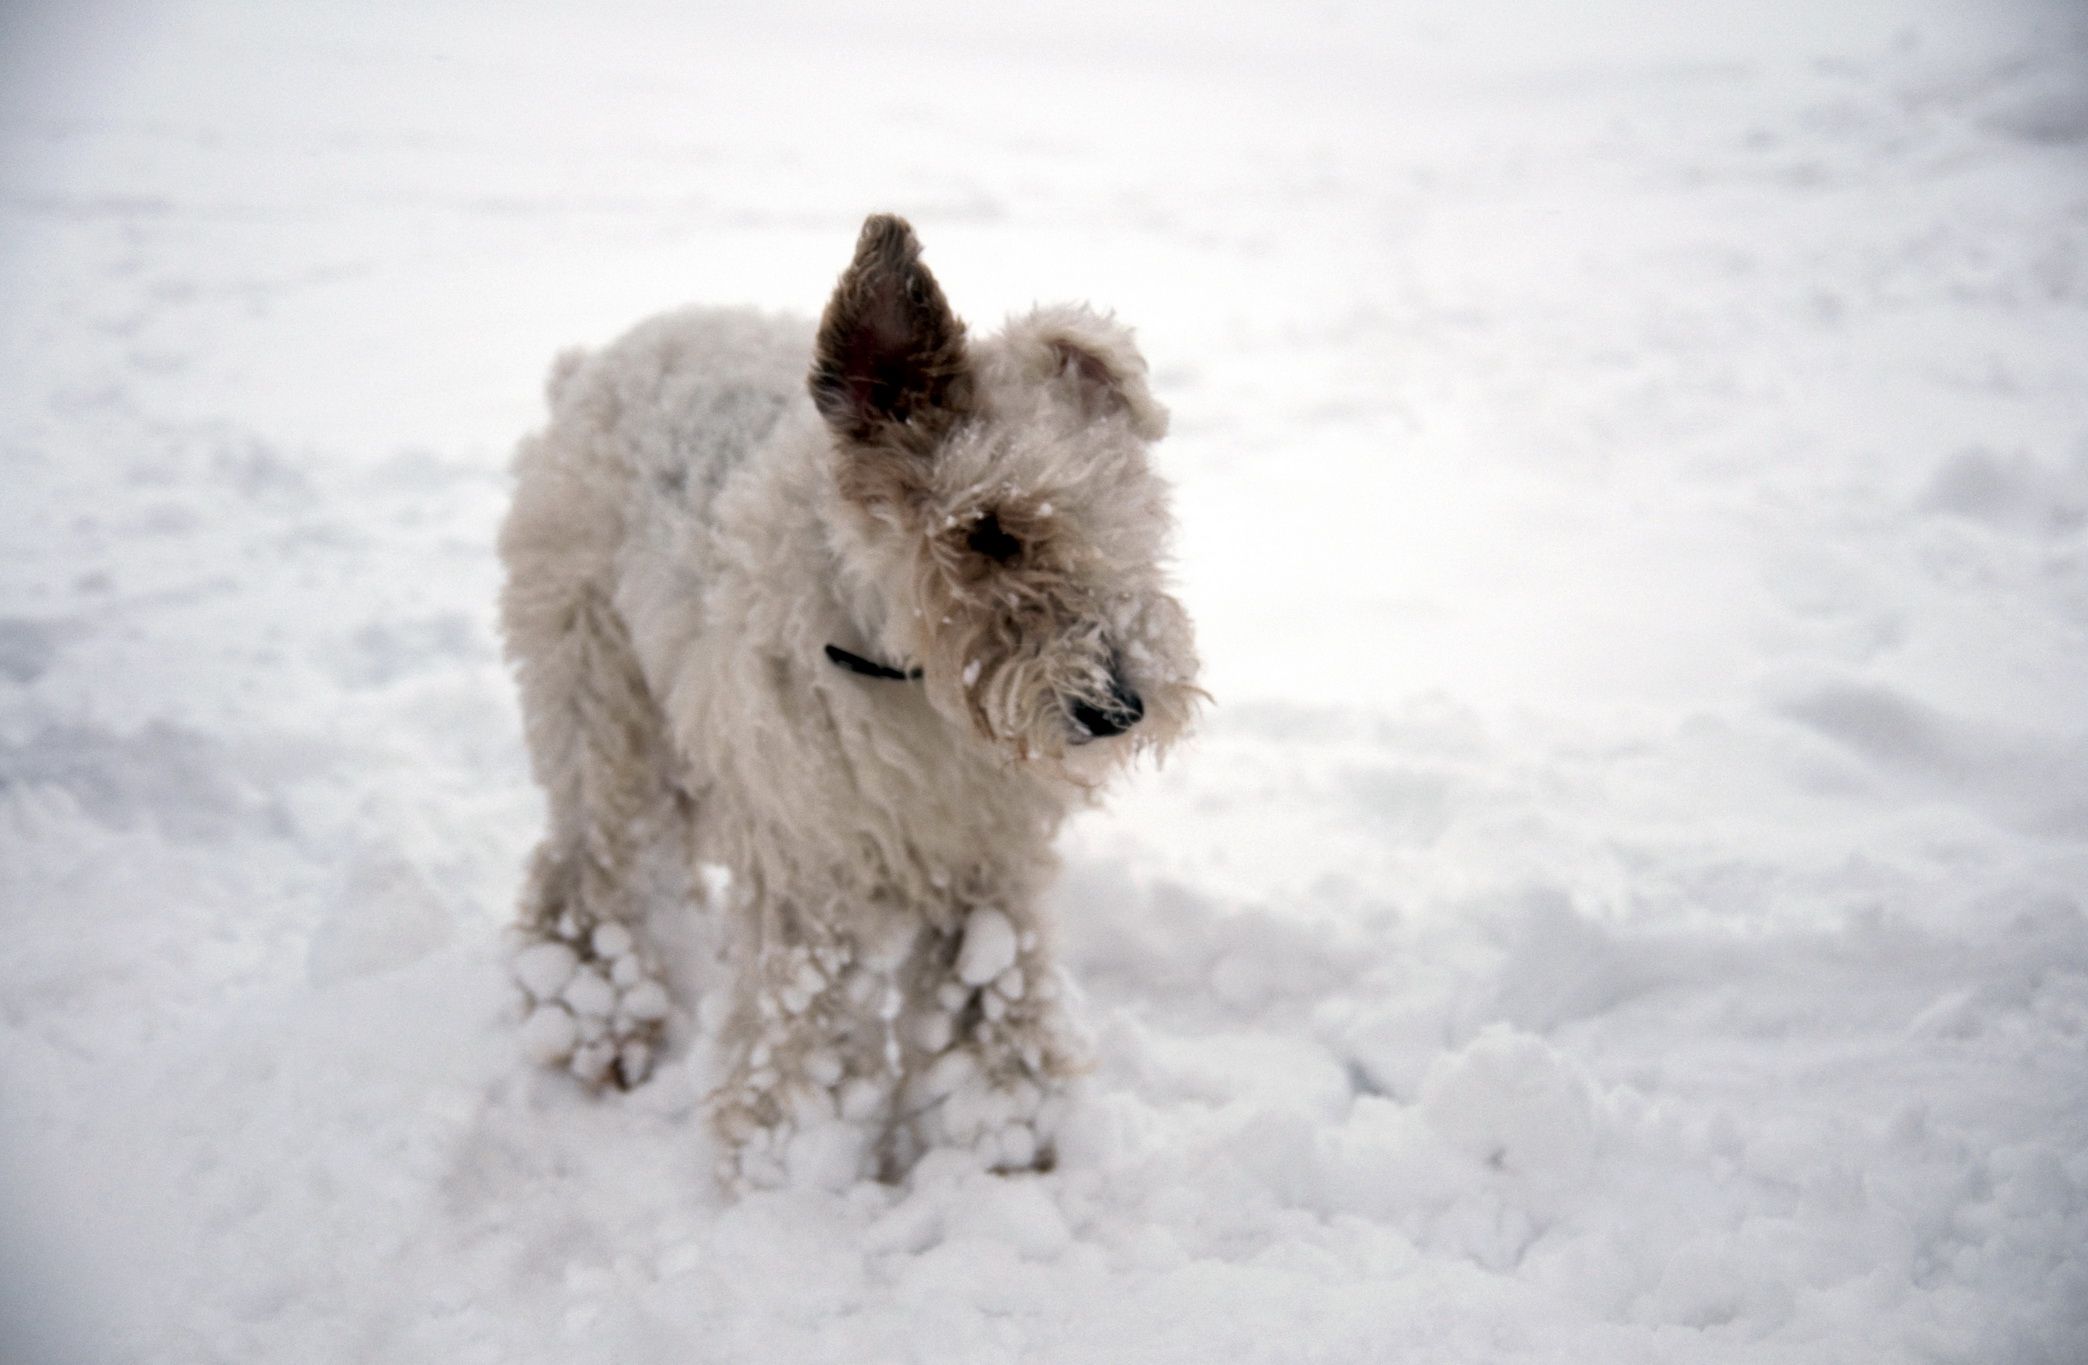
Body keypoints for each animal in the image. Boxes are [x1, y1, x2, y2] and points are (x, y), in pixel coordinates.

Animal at [494, 213, 1202, 1185]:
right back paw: (597, 1023)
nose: (1120, 709)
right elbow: (805, 1033)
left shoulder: (983, 863)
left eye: (1125, 506)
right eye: (986, 530)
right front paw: (786, 1173)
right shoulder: (812, 870)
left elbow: (991, 1005)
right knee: (588, 870)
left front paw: (1006, 1151)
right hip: (601, 703)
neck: (902, 671)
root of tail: (589, 367)